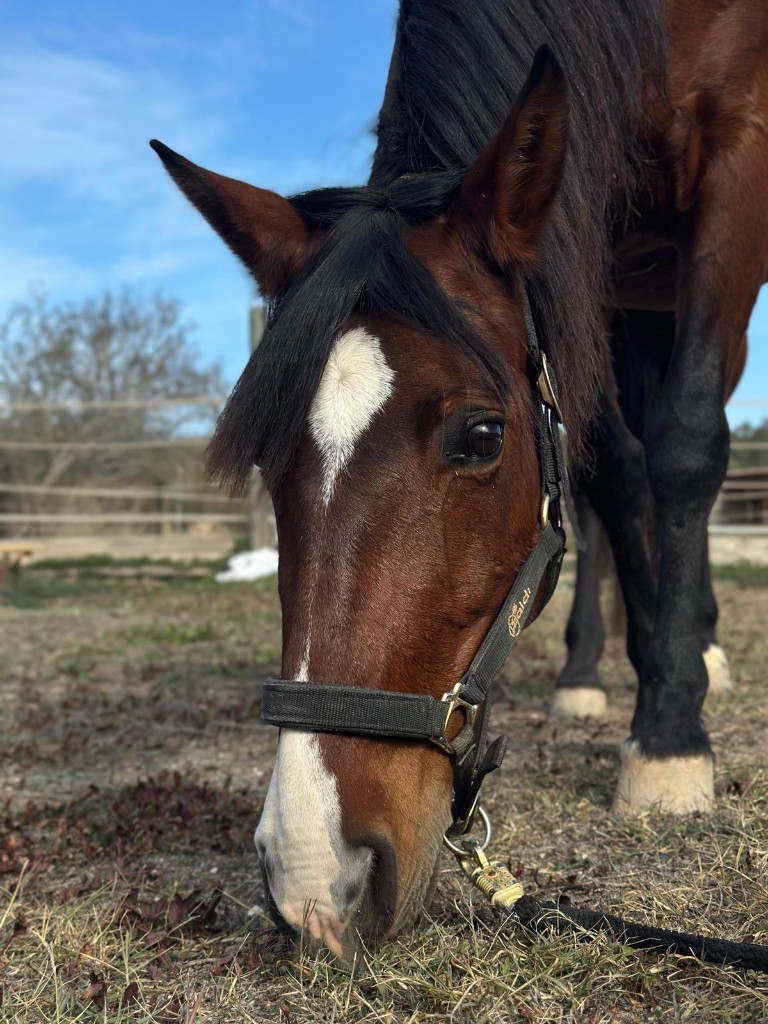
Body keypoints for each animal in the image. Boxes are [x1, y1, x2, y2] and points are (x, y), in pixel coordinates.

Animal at [152, 0, 768, 958]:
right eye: (266, 456)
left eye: (481, 437)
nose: (314, 876)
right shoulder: (586, 250)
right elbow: (612, 471)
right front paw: (643, 680)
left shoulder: (738, 160)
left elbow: (686, 445)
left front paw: (671, 737)